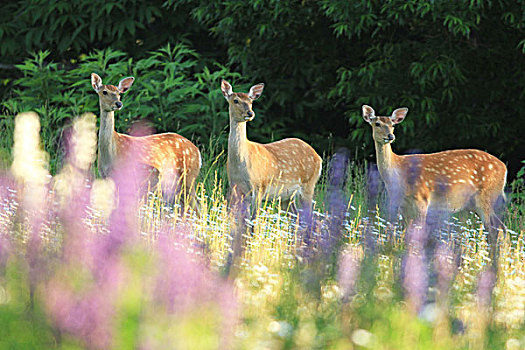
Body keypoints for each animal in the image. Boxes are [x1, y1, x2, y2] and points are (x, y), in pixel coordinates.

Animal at [220, 80, 322, 216]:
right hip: (286, 195)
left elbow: (253, 219)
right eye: (235, 100)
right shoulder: (236, 188)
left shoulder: (259, 186)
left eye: (251, 101)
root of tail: (318, 157)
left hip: (309, 183)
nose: (250, 113)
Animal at [362, 105, 506, 264]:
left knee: (494, 229)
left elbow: (419, 232)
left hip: (486, 197)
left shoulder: (422, 199)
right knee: (501, 228)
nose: (390, 136)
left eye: (392, 125)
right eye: (377, 124)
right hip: (475, 204)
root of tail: (504, 168)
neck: (399, 175)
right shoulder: (403, 205)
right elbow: (406, 234)